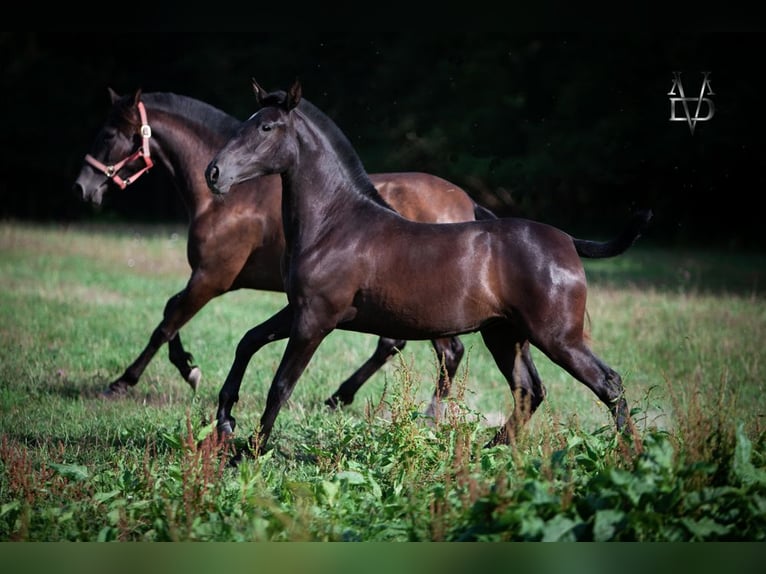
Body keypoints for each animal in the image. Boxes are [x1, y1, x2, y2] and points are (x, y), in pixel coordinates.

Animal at [73, 89, 498, 414]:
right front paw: (188, 368)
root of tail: (467, 203)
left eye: (109, 134)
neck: (231, 198)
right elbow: (170, 313)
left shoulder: (212, 278)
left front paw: (126, 381)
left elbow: (166, 323)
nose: (82, 187)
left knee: (447, 351)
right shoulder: (213, 280)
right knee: (400, 345)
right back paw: (341, 397)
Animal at [206, 81, 656, 462]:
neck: (335, 225)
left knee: (607, 383)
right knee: (530, 390)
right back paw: (485, 451)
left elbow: (281, 385)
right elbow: (248, 341)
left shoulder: (316, 319)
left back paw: (635, 455)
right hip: (506, 336)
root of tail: (568, 241)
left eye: (266, 126)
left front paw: (250, 451)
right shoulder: (298, 309)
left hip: (558, 338)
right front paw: (225, 423)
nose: (214, 173)